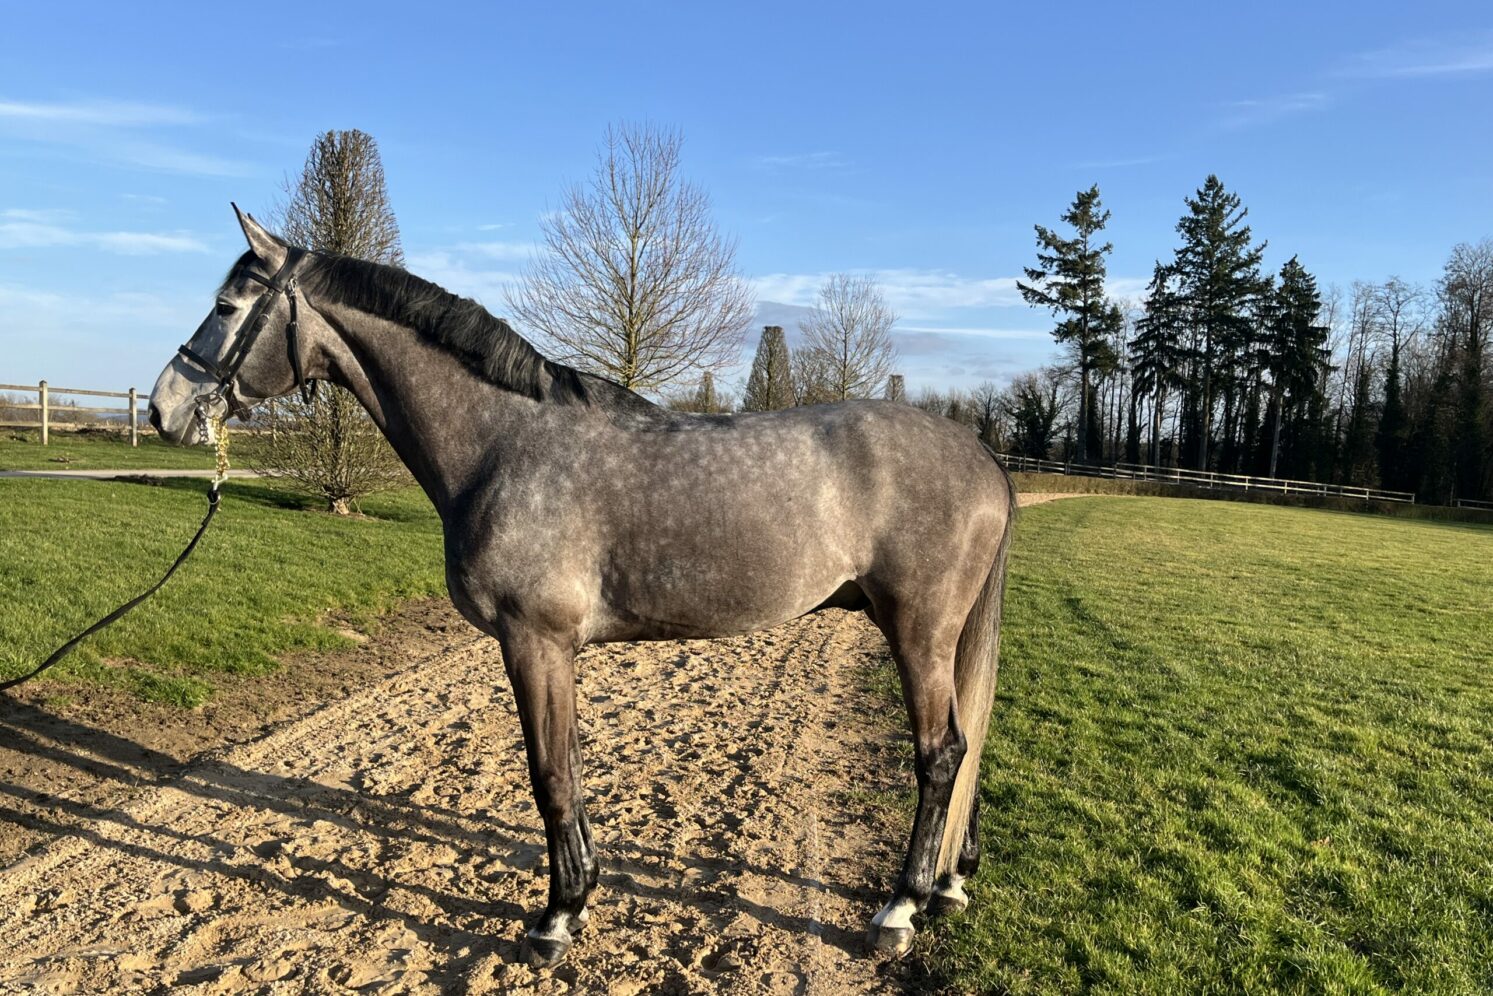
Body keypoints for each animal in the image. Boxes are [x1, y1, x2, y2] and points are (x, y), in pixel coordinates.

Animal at [147, 207, 1016, 969]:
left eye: (226, 306)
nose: (163, 410)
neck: (503, 444)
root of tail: (981, 458)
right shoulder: (553, 648)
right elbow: (565, 763)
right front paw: (581, 894)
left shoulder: (534, 641)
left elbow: (549, 776)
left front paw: (556, 919)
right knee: (965, 747)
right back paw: (947, 885)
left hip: (918, 630)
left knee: (941, 754)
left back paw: (899, 909)